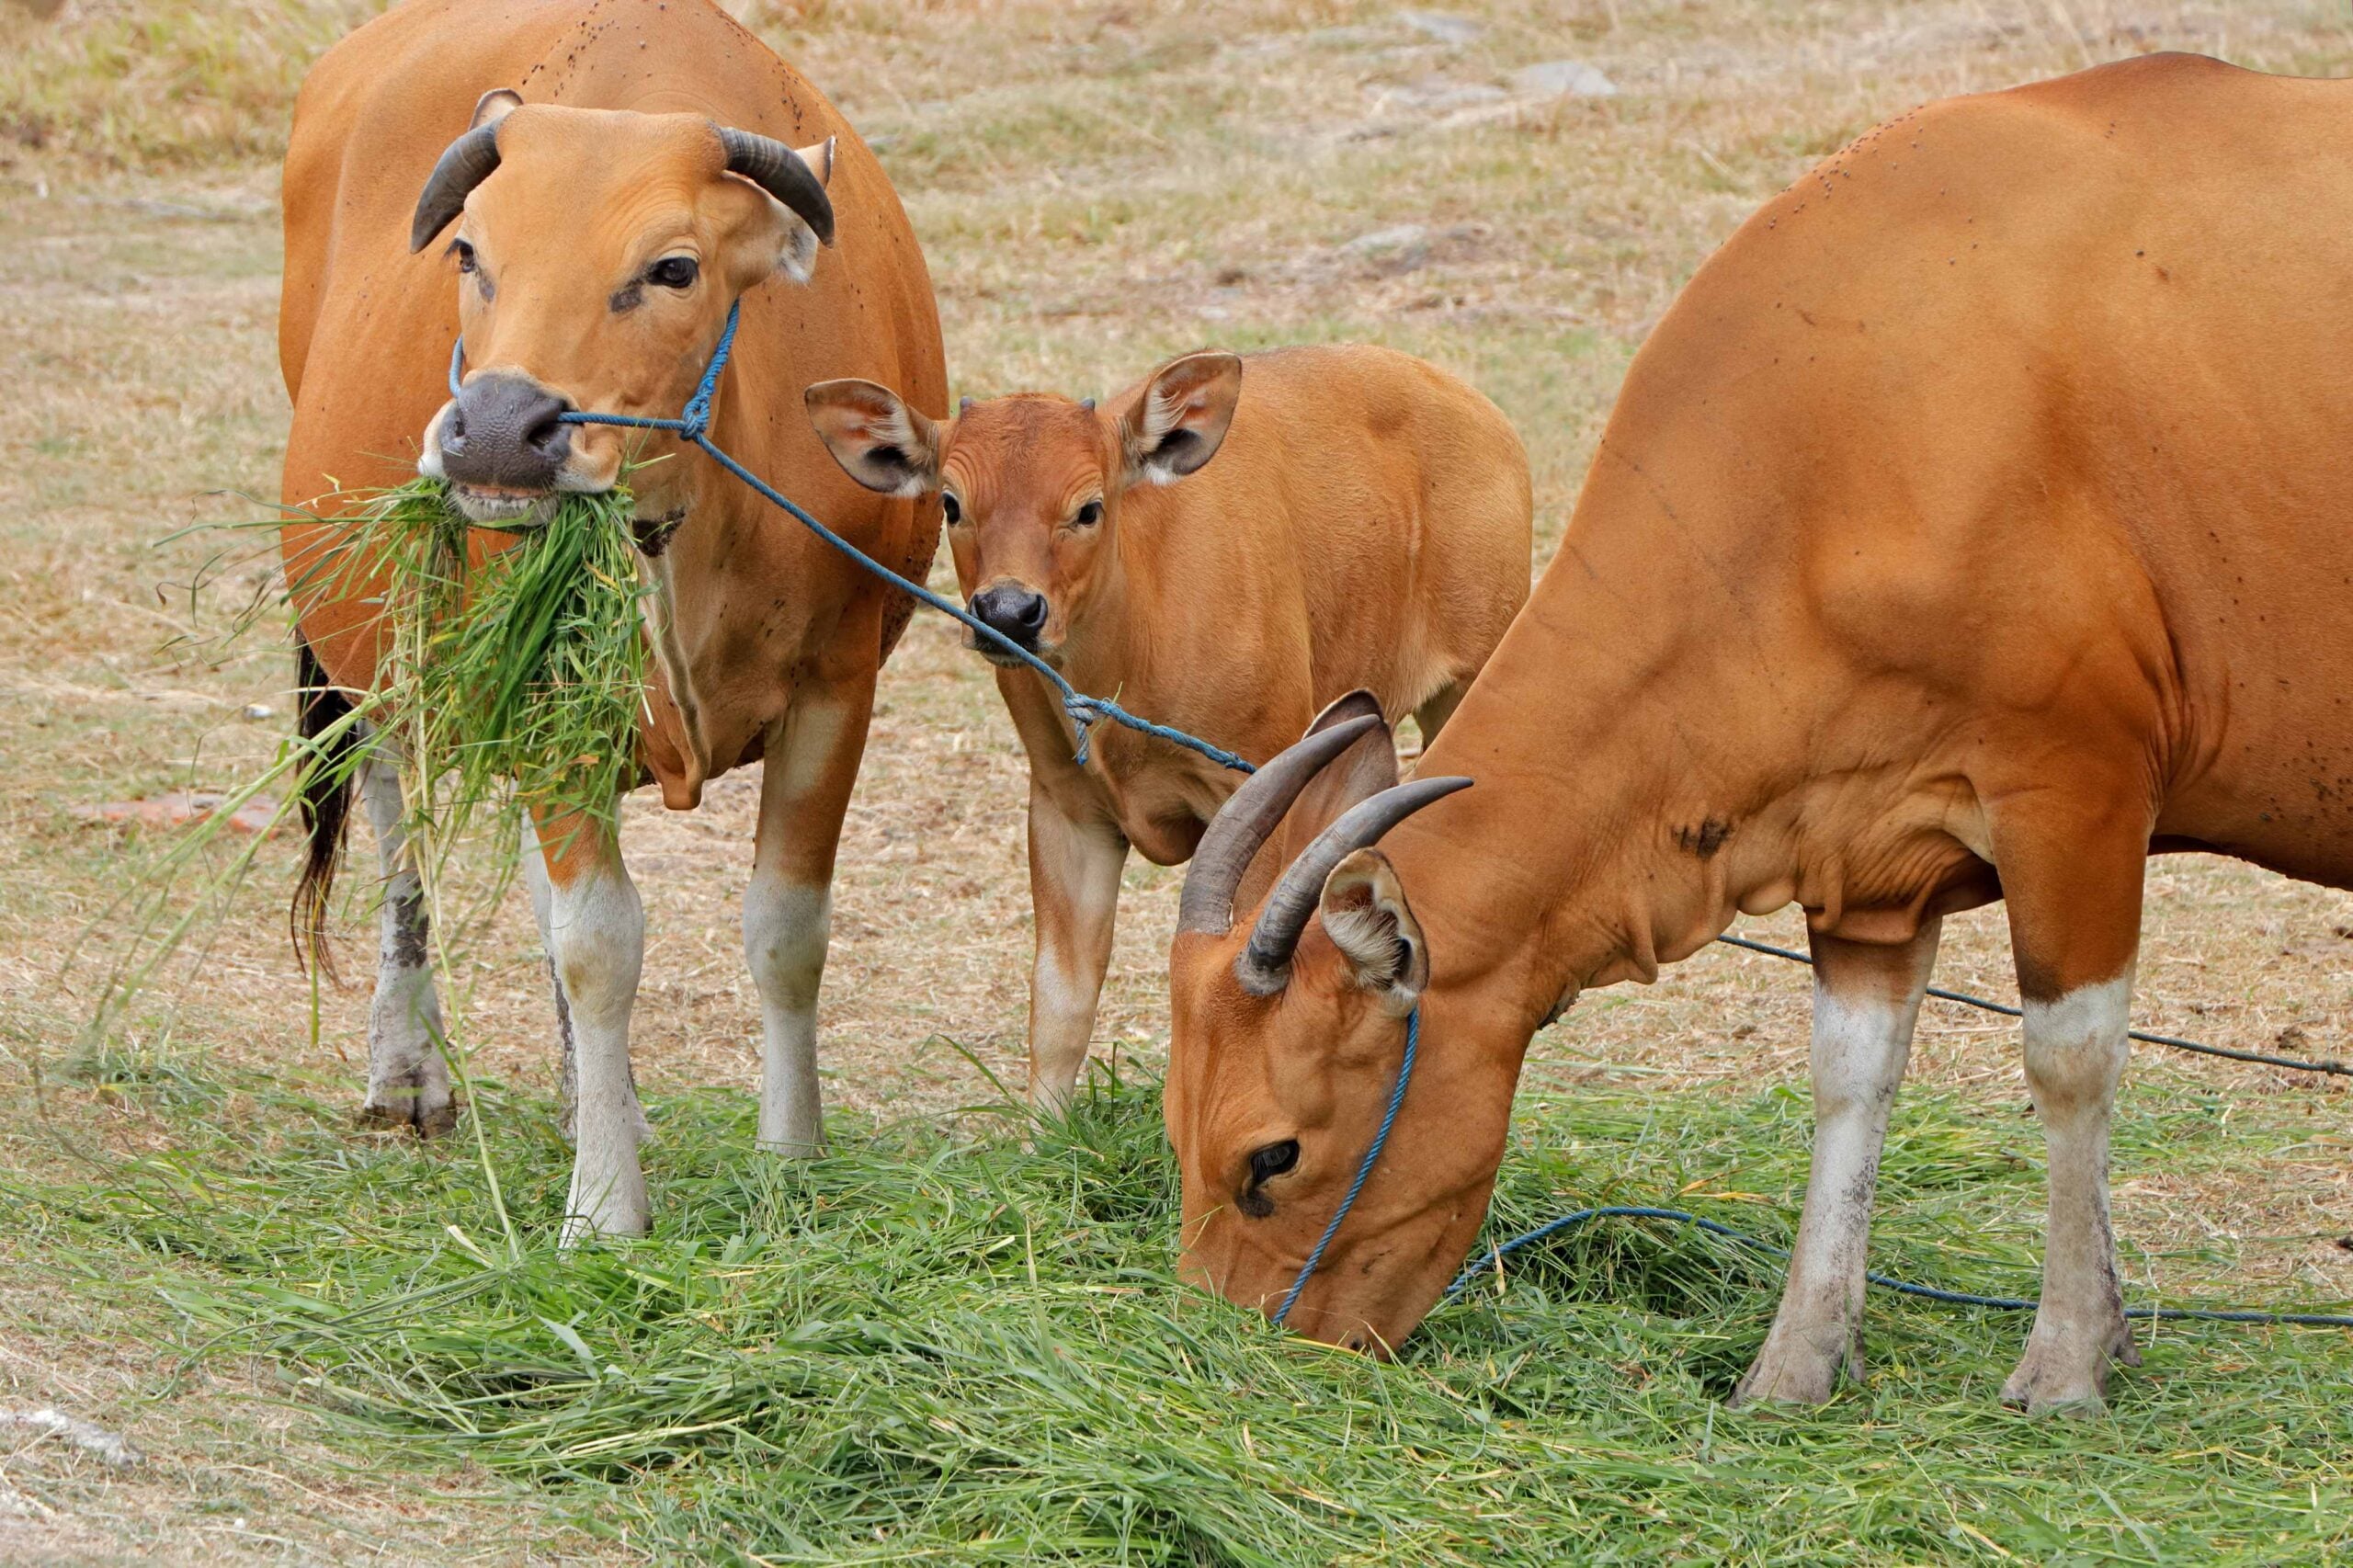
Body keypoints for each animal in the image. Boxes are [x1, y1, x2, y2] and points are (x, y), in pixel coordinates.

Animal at [277, 0, 945, 1240]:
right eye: (470, 252)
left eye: (671, 267)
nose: (498, 432)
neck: (681, 528)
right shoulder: (547, 698)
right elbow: (597, 943)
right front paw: (601, 1207)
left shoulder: (838, 688)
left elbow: (786, 931)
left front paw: (790, 1156)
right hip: (370, 639)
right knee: (398, 816)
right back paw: (410, 1066)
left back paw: (600, 1099)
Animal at [802, 346, 1532, 1110]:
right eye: (951, 504)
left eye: (1088, 507)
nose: (1008, 612)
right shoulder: (1067, 806)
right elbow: (1061, 999)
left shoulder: (1256, 784)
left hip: (1474, 676)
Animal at [1160, 53, 2353, 1413]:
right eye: (1174, 1138)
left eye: (1270, 1157)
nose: (1231, 1349)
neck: (1850, 430)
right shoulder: (1865, 851)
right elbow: (1850, 1082)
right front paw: (1796, 1363)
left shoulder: (2078, 791)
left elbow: (2071, 1062)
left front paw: (2063, 1359)